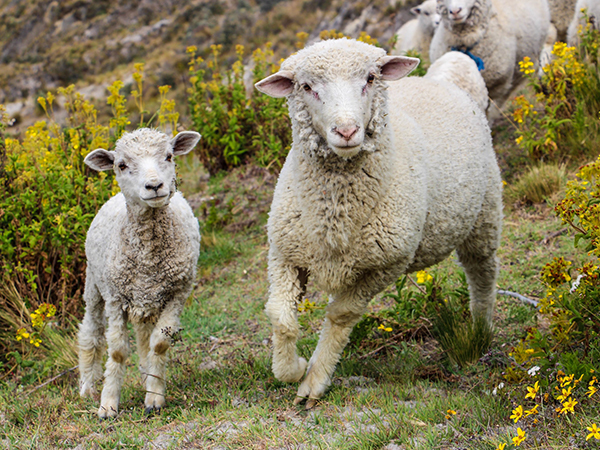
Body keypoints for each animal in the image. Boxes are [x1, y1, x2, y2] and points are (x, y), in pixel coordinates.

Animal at [78, 127, 202, 418]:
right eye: (121, 165)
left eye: (169, 156)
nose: (154, 186)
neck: (147, 257)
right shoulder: (115, 298)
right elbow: (117, 352)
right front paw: (108, 404)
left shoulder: (177, 293)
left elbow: (159, 344)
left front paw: (154, 396)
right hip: (94, 286)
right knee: (91, 332)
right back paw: (87, 386)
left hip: (148, 299)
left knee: (145, 337)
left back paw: (147, 375)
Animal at [255, 38, 504, 408]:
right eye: (307, 86)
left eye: (370, 78)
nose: (346, 131)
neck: (336, 216)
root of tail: (442, 79)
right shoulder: (285, 252)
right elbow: (279, 316)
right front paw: (292, 367)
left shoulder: (384, 265)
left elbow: (340, 316)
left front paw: (314, 379)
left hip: (484, 214)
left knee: (482, 275)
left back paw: (480, 330)